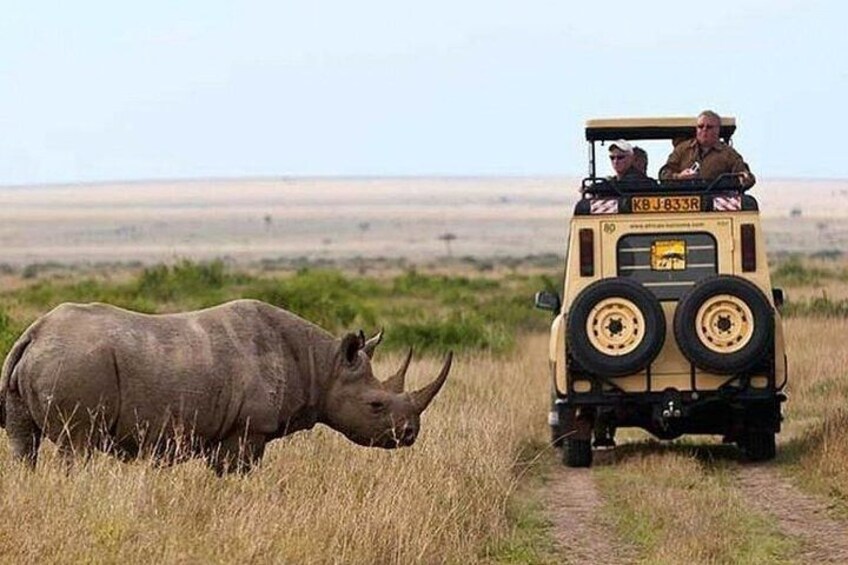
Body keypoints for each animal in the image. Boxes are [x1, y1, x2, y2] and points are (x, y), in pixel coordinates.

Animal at [0, 299, 451, 474]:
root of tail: (34, 333)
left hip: (49, 361)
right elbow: (237, 473)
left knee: (25, 443)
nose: (410, 434)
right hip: (76, 363)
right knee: (78, 446)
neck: (323, 366)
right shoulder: (248, 429)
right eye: (376, 405)